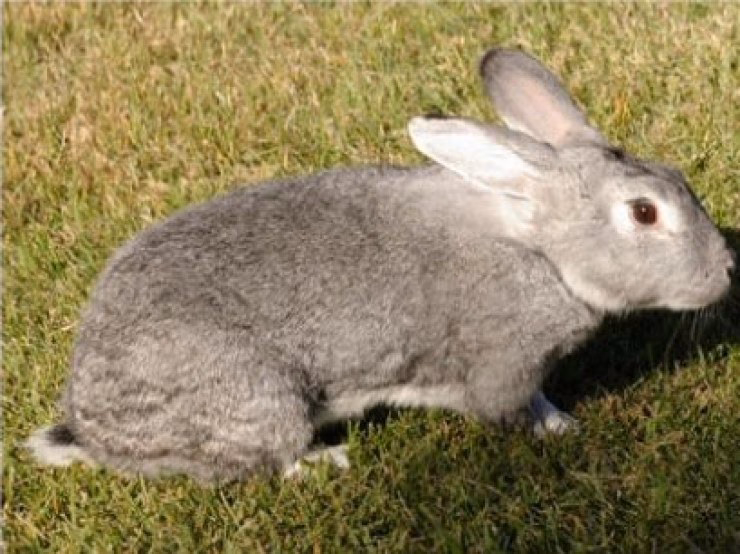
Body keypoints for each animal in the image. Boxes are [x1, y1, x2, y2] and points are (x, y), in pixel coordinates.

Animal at [27, 47, 735, 483]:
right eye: (643, 213)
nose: (728, 269)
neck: (541, 250)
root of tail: (94, 428)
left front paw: (560, 418)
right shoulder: (503, 364)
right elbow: (508, 406)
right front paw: (553, 430)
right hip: (258, 393)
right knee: (267, 458)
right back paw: (327, 462)